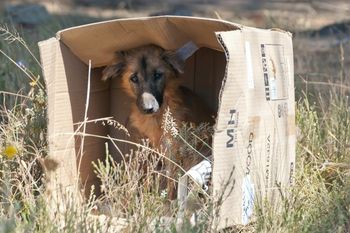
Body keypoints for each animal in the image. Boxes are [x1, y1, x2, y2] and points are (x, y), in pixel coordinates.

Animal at [102, 43, 213, 198]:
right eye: (134, 78)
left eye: (157, 75)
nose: (148, 109)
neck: (155, 118)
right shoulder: (146, 148)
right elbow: (146, 174)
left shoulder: (172, 151)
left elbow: (171, 183)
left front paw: (168, 201)